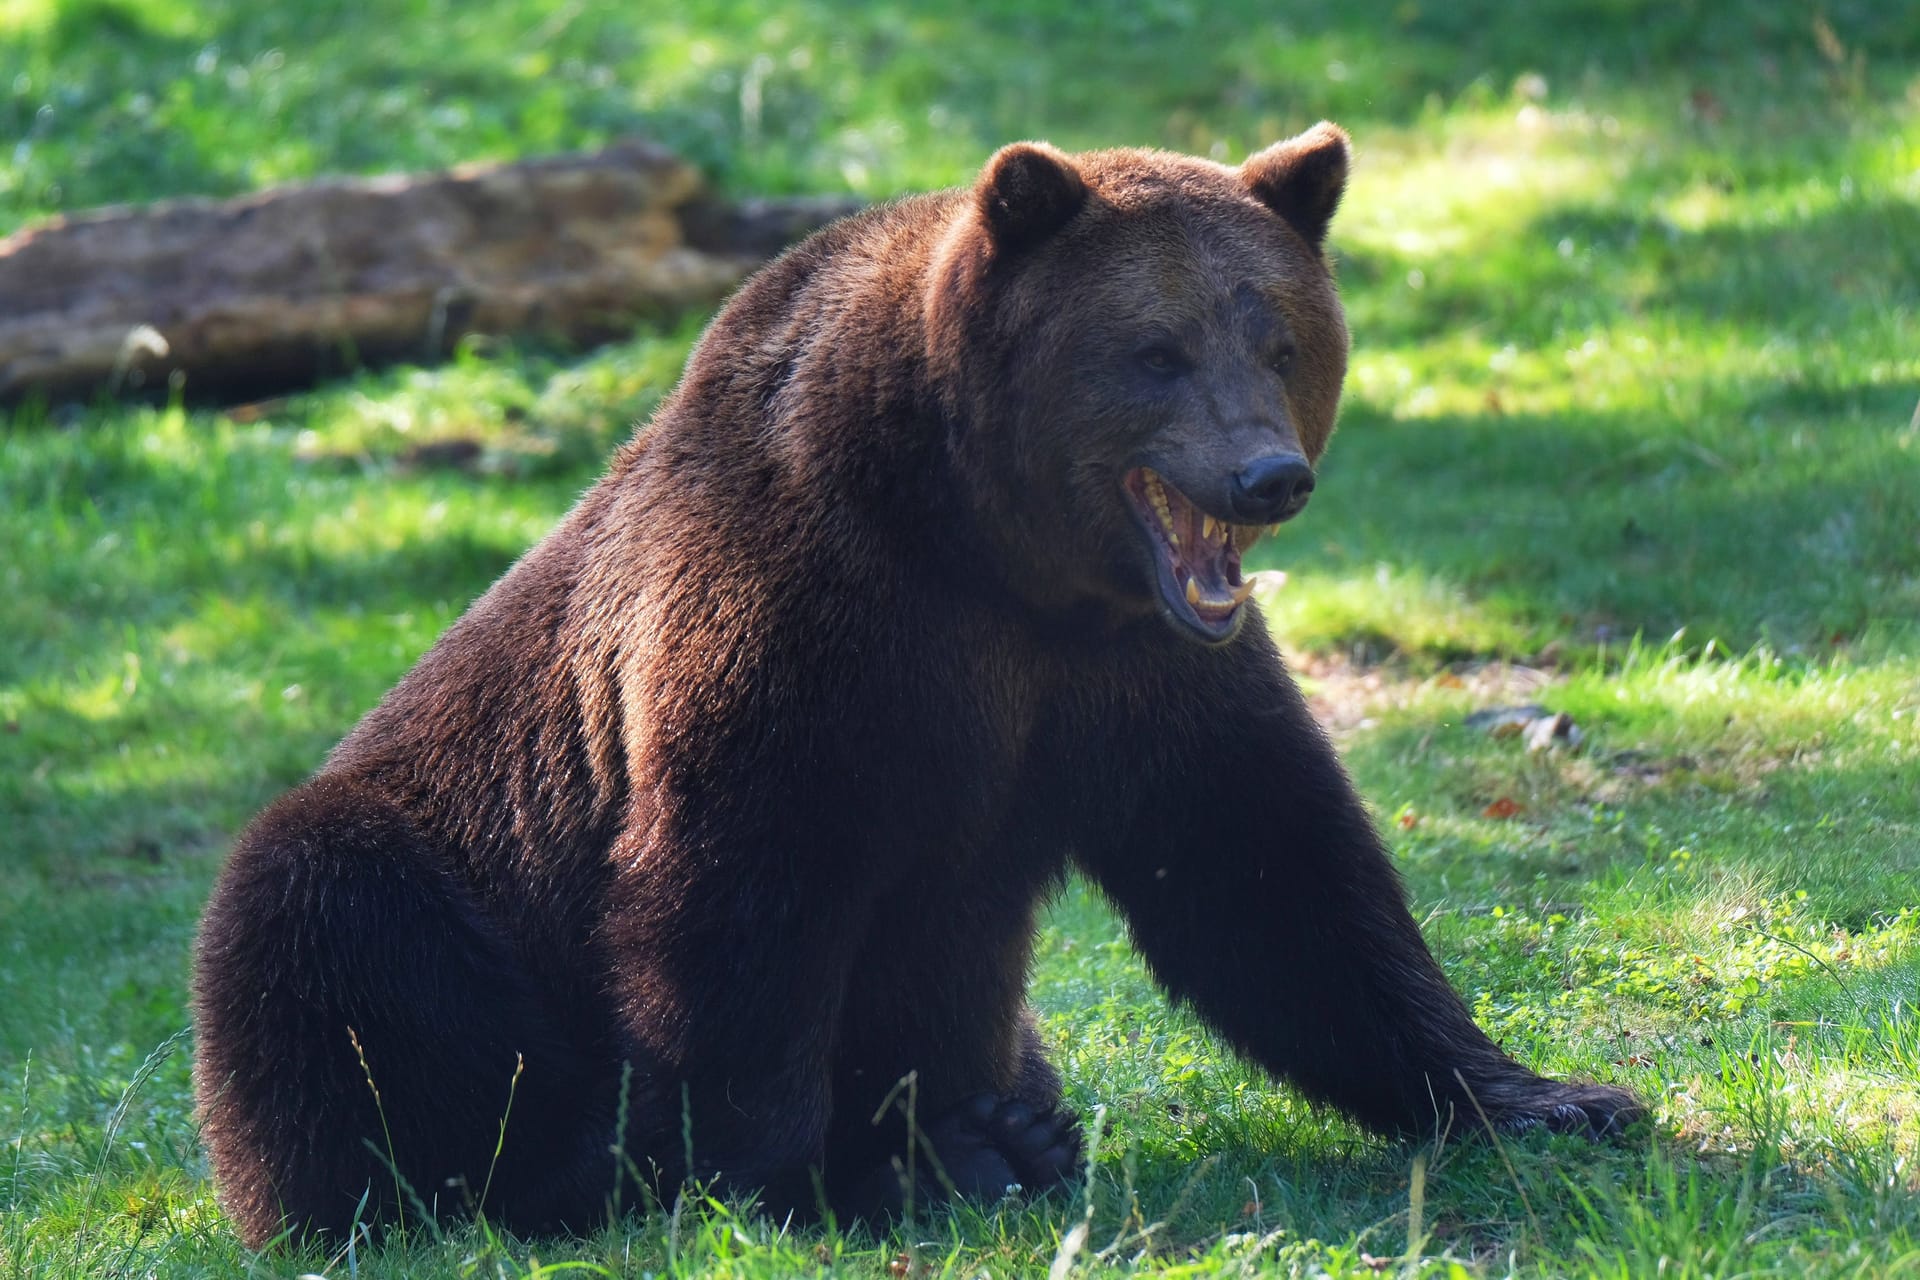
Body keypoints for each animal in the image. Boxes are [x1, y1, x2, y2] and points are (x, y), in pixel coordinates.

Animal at [191, 124, 1635, 1243]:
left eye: (1277, 336)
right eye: (1156, 348)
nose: (1268, 475)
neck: (988, 550)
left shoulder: (1133, 672)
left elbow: (1275, 877)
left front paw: (1551, 1094)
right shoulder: (808, 629)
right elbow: (740, 904)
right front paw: (806, 1177)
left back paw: (1006, 1130)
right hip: (431, 880)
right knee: (324, 936)